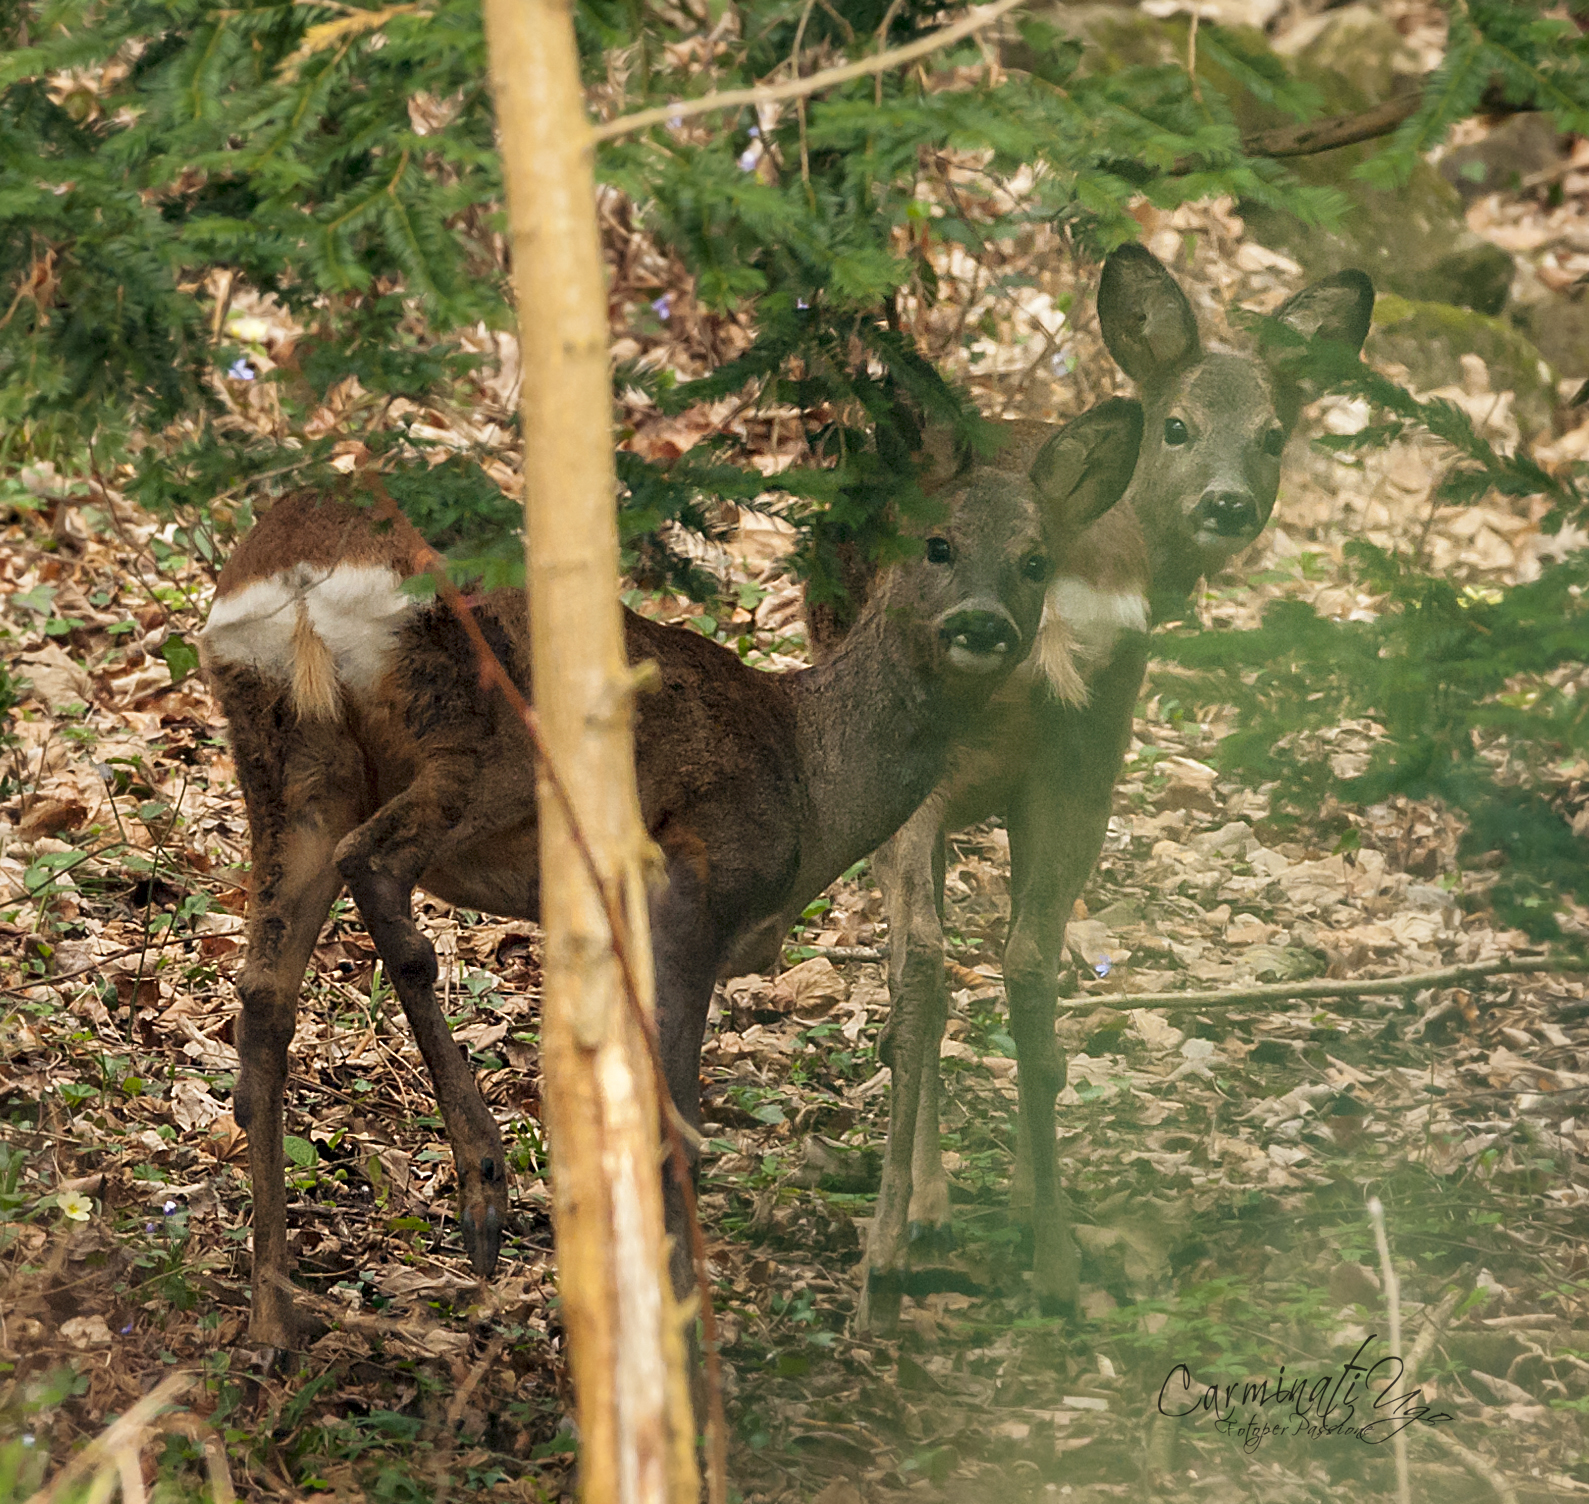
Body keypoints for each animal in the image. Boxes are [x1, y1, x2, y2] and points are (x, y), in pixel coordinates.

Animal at [198, 401, 1143, 1348]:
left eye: (1034, 560)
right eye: (938, 544)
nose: (983, 624)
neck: (808, 773)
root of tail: (298, 569)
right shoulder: (694, 880)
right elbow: (675, 1127)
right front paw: (682, 1335)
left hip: (288, 763)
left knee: (263, 997)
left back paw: (273, 1317)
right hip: (485, 738)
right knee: (376, 865)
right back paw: (482, 1179)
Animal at [841, 243, 1374, 1333]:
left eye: (1272, 435)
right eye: (1178, 425)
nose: (1228, 503)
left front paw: (938, 1200)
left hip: (981, 755)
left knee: (934, 960)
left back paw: (901, 1251)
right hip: (1078, 754)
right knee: (1014, 962)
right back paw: (1038, 1258)